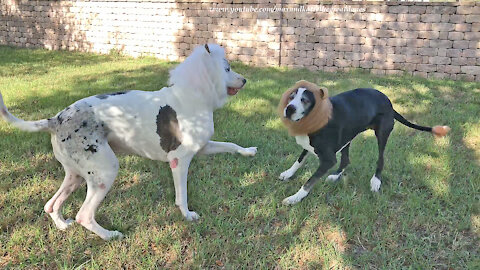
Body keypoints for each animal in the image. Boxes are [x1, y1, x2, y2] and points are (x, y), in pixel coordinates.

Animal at [278, 80, 450, 205]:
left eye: (305, 100)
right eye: (291, 97)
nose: (289, 109)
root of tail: (389, 102)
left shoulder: (328, 159)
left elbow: (309, 182)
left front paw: (295, 198)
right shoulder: (309, 146)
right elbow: (299, 161)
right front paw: (288, 173)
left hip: (382, 134)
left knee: (380, 159)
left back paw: (376, 181)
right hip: (347, 137)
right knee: (346, 160)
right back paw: (336, 176)